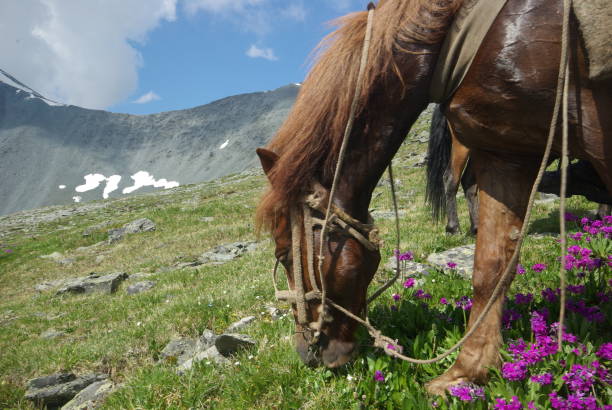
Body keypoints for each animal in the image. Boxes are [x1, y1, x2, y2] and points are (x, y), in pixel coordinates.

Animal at [256, 0, 608, 398]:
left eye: (284, 255)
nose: (308, 354)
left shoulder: (593, 128)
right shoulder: (506, 154)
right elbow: (490, 268)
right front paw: (466, 374)